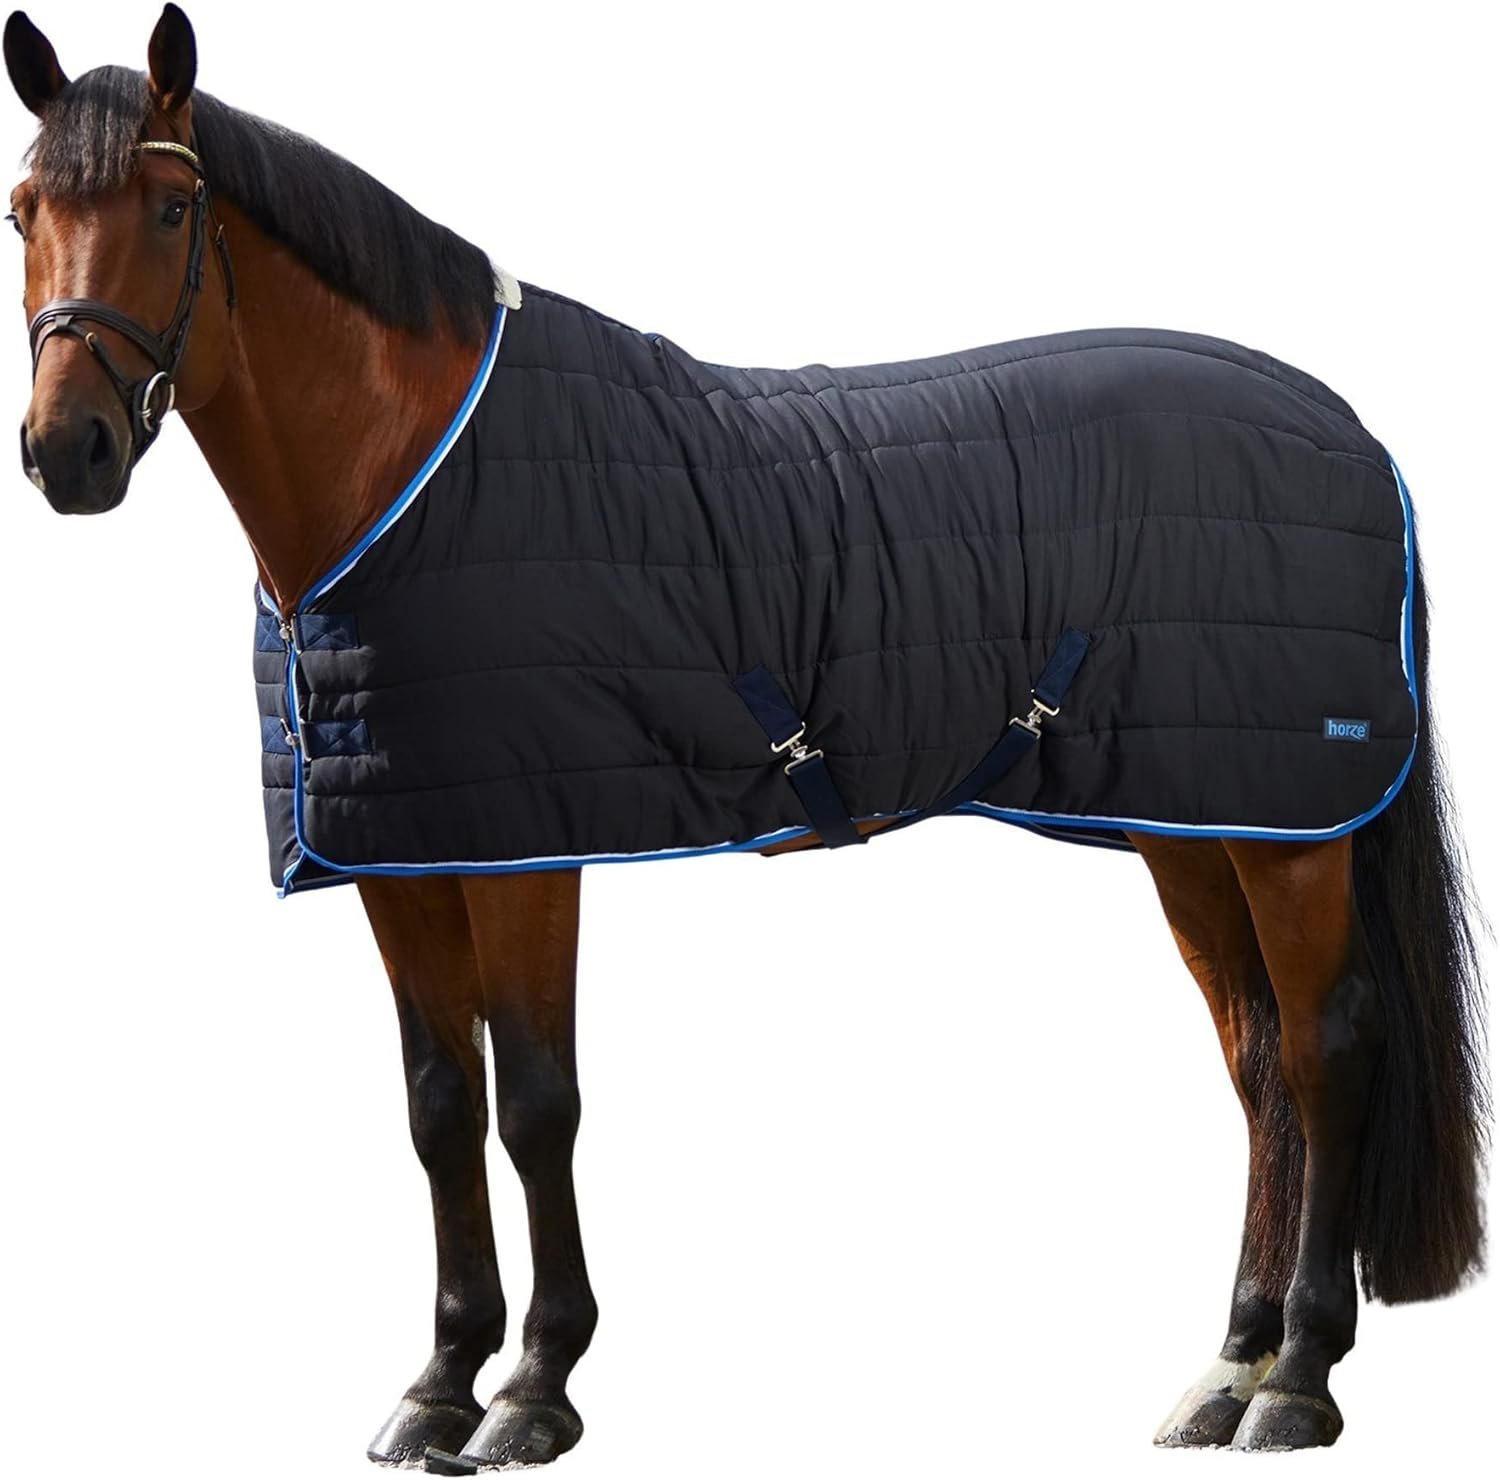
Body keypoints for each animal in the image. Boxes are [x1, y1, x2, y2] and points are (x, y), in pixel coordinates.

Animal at [4, 4, 1487, 1470]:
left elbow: (536, 1104)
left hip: (1285, 831)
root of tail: (1353, 435)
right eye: (24, 209)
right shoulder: (404, 856)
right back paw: (1229, 1367)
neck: (408, 468)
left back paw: (1299, 1377)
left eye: (174, 205)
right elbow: (439, 1110)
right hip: (1196, 820)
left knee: (1325, 1050)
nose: (68, 451)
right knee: (1257, 1061)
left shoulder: (530, 856)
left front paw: (535, 1388)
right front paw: (438, 1384)